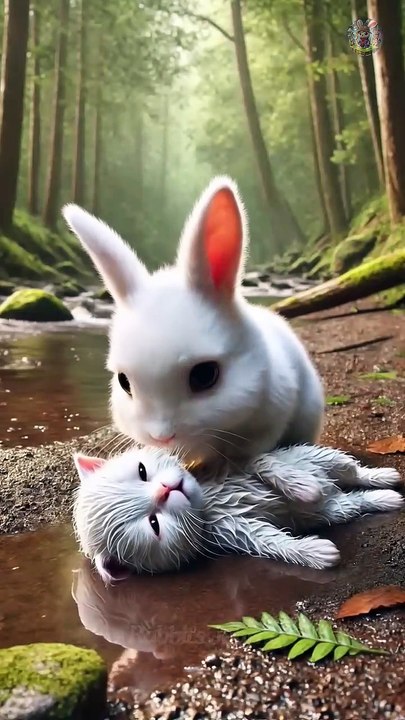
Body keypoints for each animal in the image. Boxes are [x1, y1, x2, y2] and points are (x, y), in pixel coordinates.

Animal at [72, 443, 403, 583]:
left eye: (142, 471)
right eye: (154, 523)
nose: (167, 489)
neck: (207, 501)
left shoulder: (230, 461)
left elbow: (261, 462)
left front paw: (302, 486)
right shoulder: (233, 529)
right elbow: (271, 541)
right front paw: (312, 552)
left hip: (317, 455)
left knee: (352, 470)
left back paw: (382, 476)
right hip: (334, 509)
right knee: (354, 502)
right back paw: (384, 497)